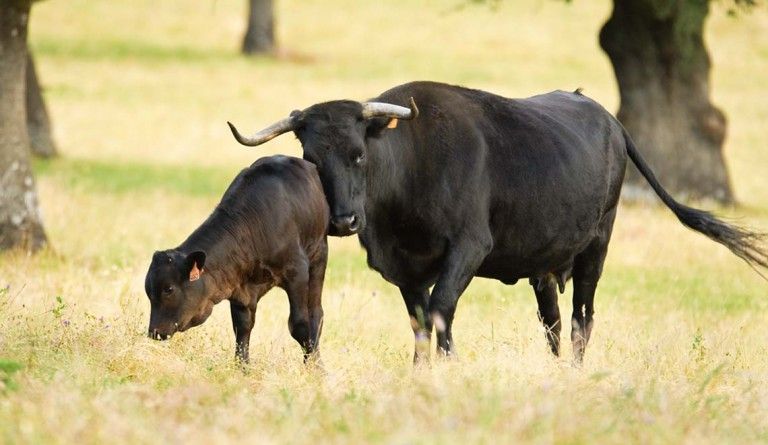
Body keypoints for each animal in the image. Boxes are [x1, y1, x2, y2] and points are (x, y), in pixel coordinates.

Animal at [144, 155, 329, 363]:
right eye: (148, 292)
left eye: (168, 289)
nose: (154, 332)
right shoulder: (239, 288)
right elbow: (242, 327)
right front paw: (242, 365)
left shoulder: (297, 272)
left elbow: (300, 325)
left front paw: (314, 366)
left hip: (318, 256)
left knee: (316, 313)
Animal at [228, 81, 767, 363]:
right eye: (312, 158)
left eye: (359, 153)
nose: (343, 220)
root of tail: (608, 118)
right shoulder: (403, 269)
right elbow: (420, 320)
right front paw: (422, 370)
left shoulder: (468, 248)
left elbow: (441, 309)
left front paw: (448, 366)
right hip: (544, 264)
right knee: (552, 320)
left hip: (597, 246)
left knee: (582, 317)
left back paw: (576, 368)